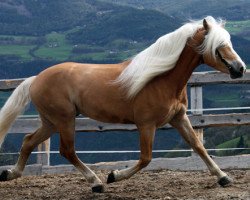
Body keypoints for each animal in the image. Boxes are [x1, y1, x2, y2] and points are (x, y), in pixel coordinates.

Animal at [0, 16, 246, 192]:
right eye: (218, 46)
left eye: (229, 42)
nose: (240, 69)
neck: (161, 79)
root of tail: (35, 79)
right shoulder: (146, 125)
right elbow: (146, 158)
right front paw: (114, 176)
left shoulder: (179, 118)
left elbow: (198, 146)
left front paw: (224, 177)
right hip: (64, 120)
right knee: (67, 150)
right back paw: (97, 183)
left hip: (51, 122)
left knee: (28, 140)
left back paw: (9, 174)